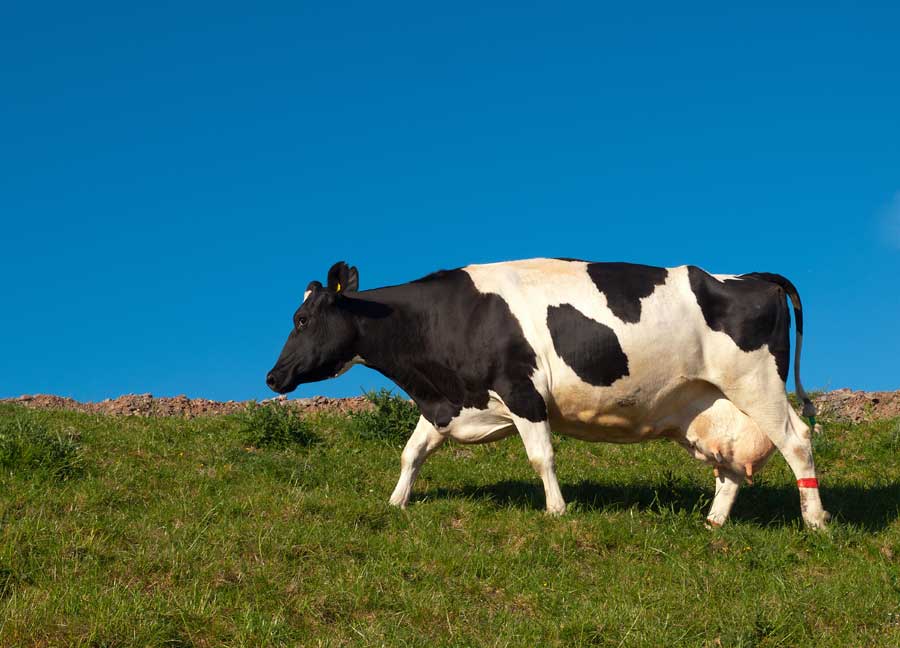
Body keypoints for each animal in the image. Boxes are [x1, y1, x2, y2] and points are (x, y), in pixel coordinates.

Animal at [266, 256, 828, 528]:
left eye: (301, 319)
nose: (272, 377)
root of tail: (752, 276)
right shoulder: (450, 401)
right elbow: (412, 453)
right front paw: (396, 502)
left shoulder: (521, 391)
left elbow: (542, 456)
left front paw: (557, 512)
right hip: (709, 403)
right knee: (731, 465)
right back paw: (713, 523)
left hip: (756, 383)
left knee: (797, 440)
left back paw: (816, 521)